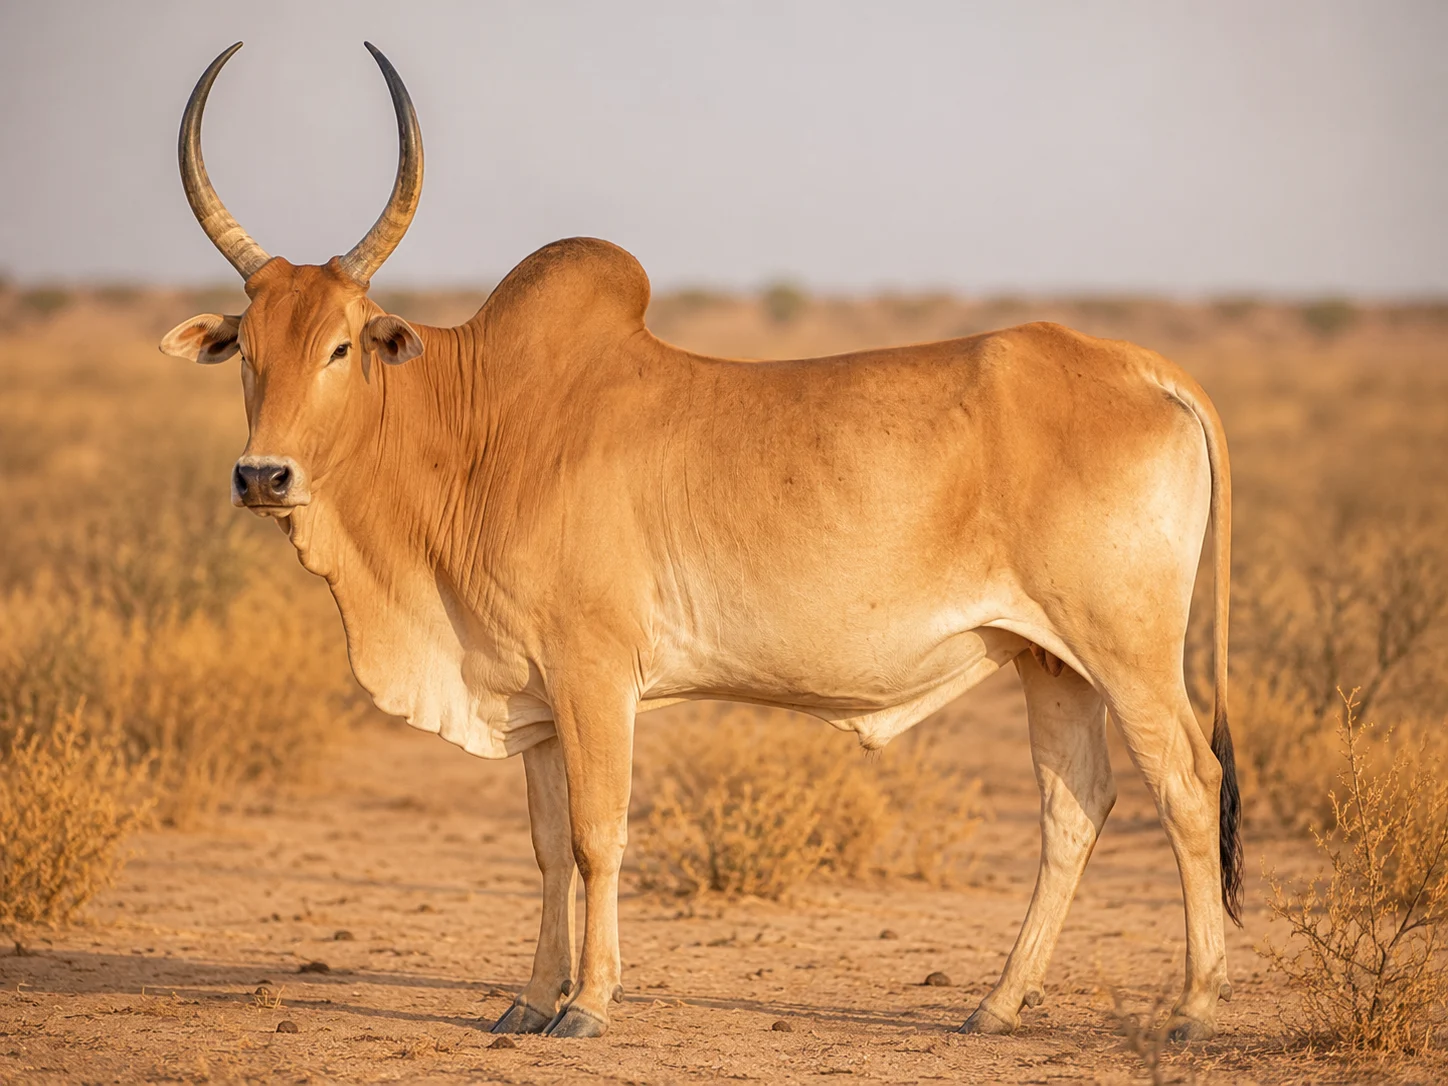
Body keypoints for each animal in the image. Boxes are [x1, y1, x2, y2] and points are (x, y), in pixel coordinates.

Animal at [162, 42, 1242, 1041]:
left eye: (341, 346)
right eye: (249, 349)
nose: (263, 477)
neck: (479, 426)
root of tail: (1140, 367)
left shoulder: (595, 674)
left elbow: (597, 836)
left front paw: (588, 1004)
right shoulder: (534, 696)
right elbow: (545, 846)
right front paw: (528, 999)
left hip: (1128, 649)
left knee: (1189, 786)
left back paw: (1193, 1007)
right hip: (1048, 660)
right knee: (1075, 807)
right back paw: (999, 1004)